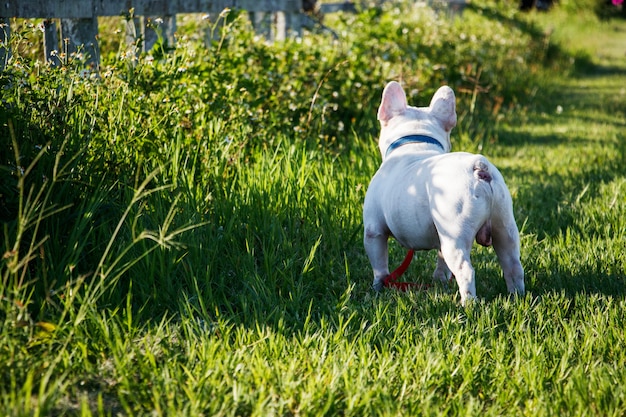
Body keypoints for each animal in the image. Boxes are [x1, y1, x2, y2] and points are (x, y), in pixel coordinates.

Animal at [360, 80, 520, 302]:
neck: (415, 143)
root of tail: (479, 168)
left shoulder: (374, 231)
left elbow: (379, 265)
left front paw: (378, 287)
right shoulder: (439, 237)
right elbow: (441, 261)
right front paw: (439, 281)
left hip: (455, 236)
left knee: (465, 271)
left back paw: (468, 304)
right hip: (503, 225)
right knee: (512, 265)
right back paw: (517, 297)